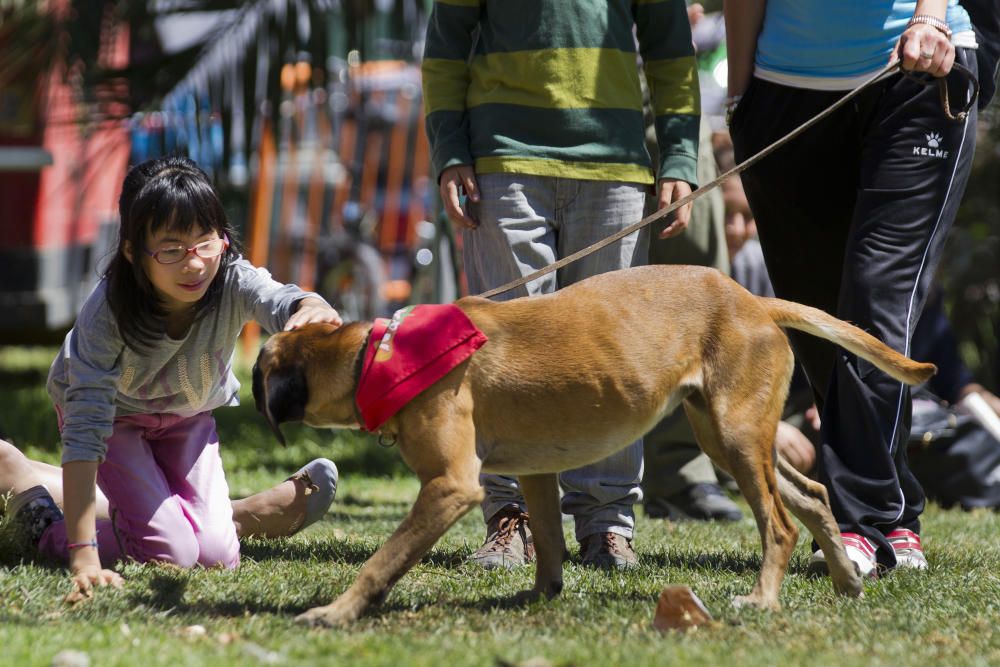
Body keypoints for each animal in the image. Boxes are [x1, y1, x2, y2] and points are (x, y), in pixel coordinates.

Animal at [252, 264, 936, 628]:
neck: (377, 355)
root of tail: (753, 299)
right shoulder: (532, 472)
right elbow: (549, 544)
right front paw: (539, 595)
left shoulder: (449, 487)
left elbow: (382, 561)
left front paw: (337, 612)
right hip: (731, 439)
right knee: (814, 494)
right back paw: (846, 579)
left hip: (739, 441)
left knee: (781, 526)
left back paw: (764, 598)